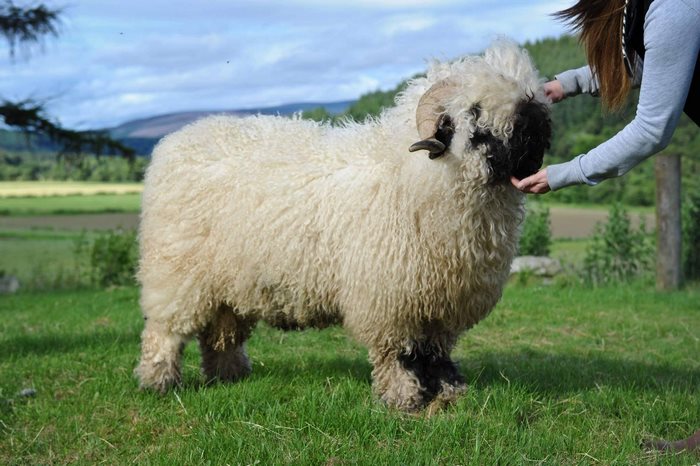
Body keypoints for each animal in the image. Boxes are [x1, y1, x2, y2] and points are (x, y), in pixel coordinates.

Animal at [135, 39, 551, 412]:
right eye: (476, 110)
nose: (537, 126)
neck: (414, 175)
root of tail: (175, 141)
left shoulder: (441, 302)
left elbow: (436, 354)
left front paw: (449, 393)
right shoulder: (389, 300)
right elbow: (398, 354)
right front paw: (403, 399)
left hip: (228, 281)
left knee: (221, 333)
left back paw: (229, 376)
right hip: (176, 272)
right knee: (164, 331)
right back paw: (158, 382)